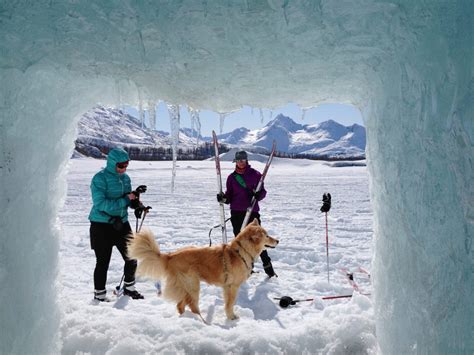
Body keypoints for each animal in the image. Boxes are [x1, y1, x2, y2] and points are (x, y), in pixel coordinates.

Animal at [128, 221, 280, 322]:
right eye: (267, 236)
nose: (278, 241)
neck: (241, 252)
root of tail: (170, 256)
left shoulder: (226, 287)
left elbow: (227, 303)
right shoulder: (232, 287)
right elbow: (230, 304)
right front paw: (231, 317)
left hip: (188, 287)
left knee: (180, 305)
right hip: (193, 285)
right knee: (188, 305)